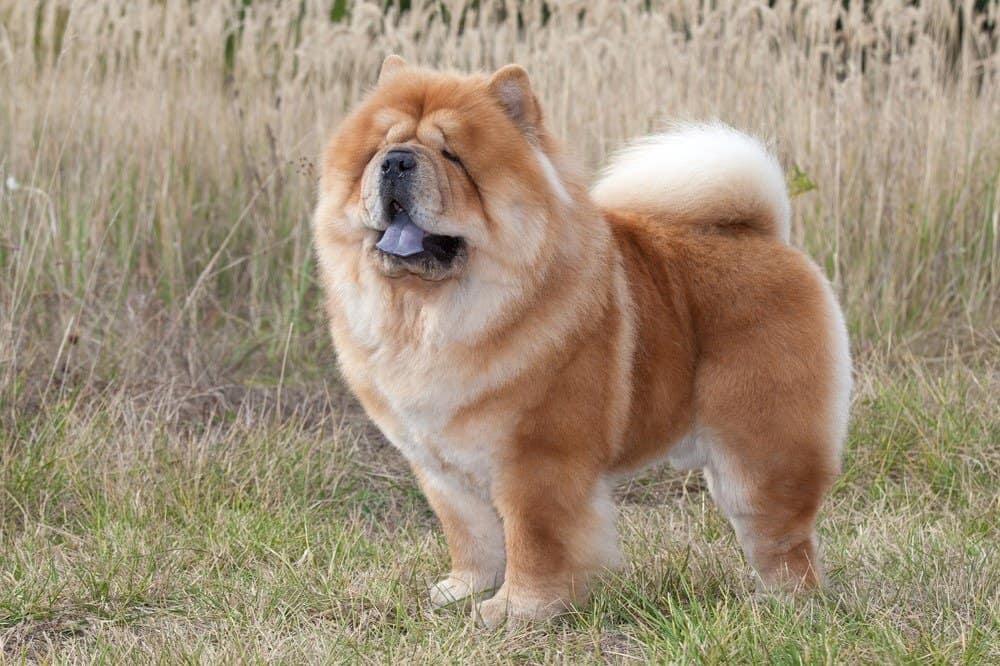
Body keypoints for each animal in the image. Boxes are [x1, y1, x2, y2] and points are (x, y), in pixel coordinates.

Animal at [312, 55, 852, 624]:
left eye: (452, 155)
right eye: (379, 149)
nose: (395, 162)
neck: (430, 316)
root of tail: (763, 233)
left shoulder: (537, 463)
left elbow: (534, 541)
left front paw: (514, 611)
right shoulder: (442, 468)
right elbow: (472, 535)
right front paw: (462, 590)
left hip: (759, 450)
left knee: (780, 534)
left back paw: (787, 601)